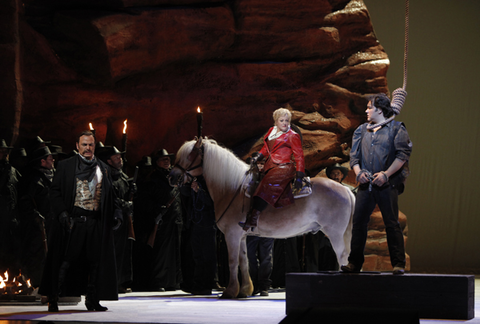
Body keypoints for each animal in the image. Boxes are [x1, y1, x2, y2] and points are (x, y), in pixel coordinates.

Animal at [171, 137, 354, 298]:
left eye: (189, 155)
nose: (171, 176)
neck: (232, 188)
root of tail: (345, 189)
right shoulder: (241, 236)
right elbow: (244, 261)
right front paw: (244, 290)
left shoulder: (231, 234)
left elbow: (232, 261)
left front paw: (230, 292)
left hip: (335, 233)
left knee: (342, 256)